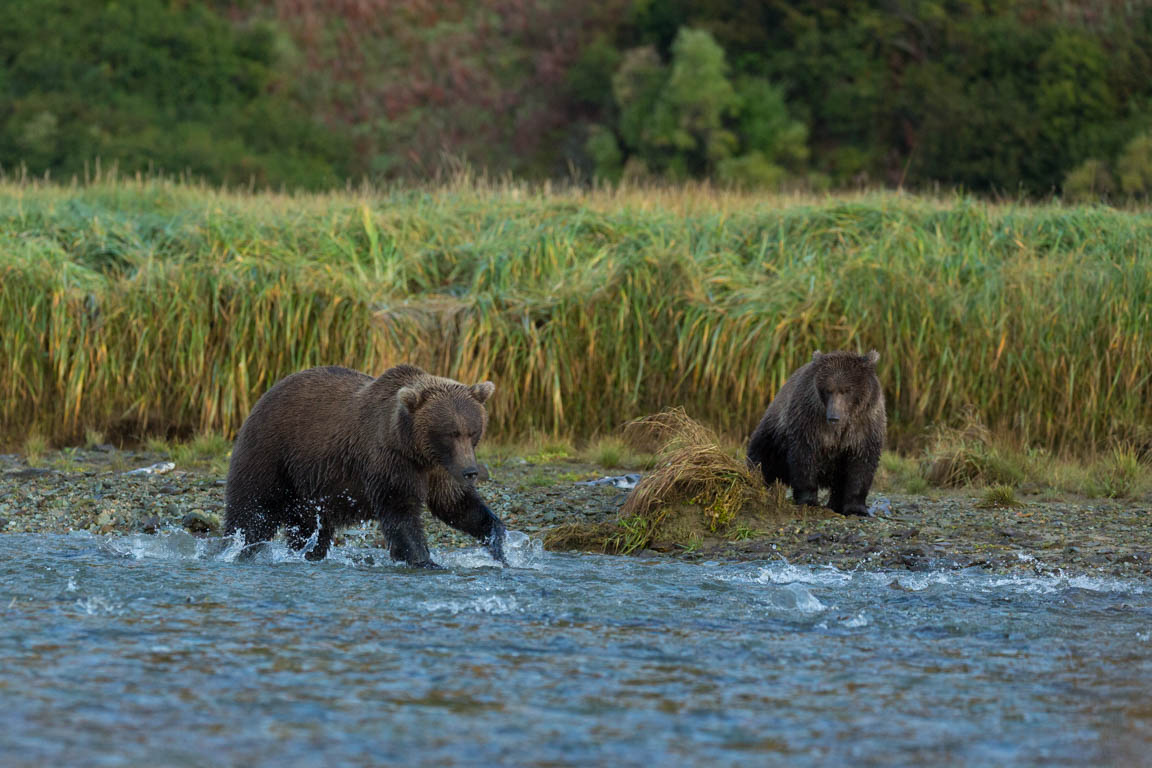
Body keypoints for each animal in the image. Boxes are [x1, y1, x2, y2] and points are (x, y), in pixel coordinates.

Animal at [224, 363, 504, 568]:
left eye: (473, 431)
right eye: (450, 433)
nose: (471, 472)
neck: (415, 449)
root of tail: (263, 397)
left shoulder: (440, 471)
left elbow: (456, 505)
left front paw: (498, 544)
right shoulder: (389, 460)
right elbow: (400, 512)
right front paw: (424, 560)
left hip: (309, 489)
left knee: (310, 528)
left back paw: (307, 554)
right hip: (272, 454)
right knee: (252, 512)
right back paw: (238, 548)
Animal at [746, 352, 880, 520]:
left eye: (847, 390)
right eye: (828, 390)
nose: (834, 417)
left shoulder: (863, 427)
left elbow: (861, 465)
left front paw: (856, 508)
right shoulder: (810, 421)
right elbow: (805, 457)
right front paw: (808, 501)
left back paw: (835, 504)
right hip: (773, 436)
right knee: (761, 458)